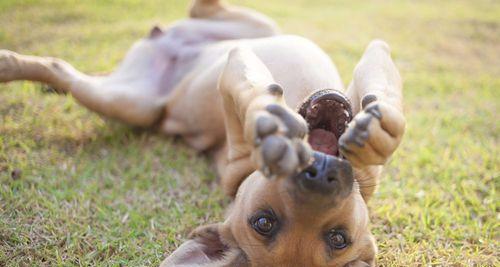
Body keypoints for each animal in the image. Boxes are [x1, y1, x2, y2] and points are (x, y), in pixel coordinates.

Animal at [0, 1, 404, 266]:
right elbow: (255, 93)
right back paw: (12, 65)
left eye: (338, 238)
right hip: (132, 99)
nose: (318, 173)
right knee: (60, 66)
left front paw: (377, 130)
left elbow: (385, 97)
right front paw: (270, 123)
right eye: (263, 222)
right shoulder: (235, 73)